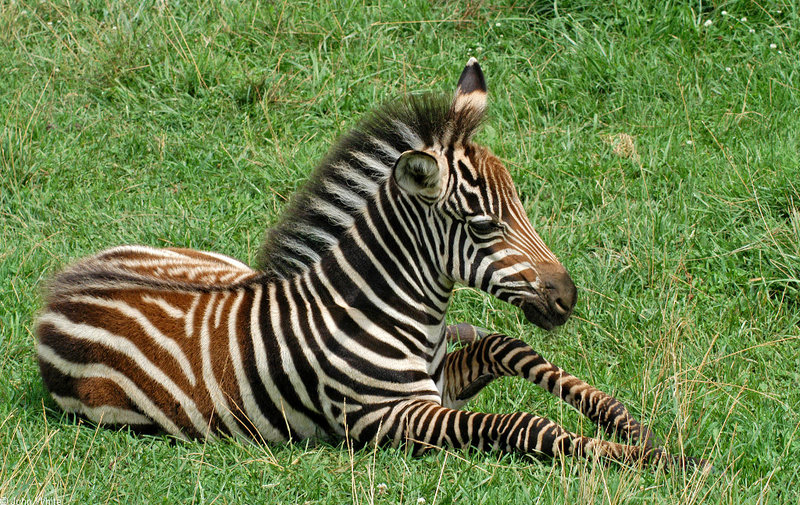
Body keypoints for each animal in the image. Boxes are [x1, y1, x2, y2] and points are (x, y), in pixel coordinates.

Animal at [34, 59, 708, 468]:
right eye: (483, 225)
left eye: (524, 205)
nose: (567, 297)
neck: (391, 312)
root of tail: (56, 289)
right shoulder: (393, 419)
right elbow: (519, 425)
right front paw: (646, 458)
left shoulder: (440, 383)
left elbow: (508, 348)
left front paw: (629, 427)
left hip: (217, 263)